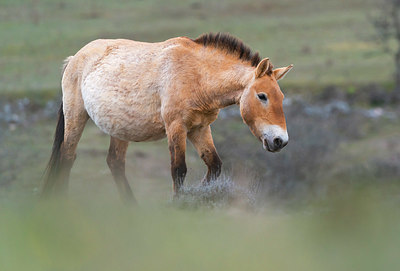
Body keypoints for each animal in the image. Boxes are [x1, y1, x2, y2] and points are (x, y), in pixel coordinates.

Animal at [42, 31, 292, 203]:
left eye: (281, 96)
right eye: (262, 96)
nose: (280, 141)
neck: (198, 76)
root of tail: (75, 58)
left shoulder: (199, 128)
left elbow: (214, 166)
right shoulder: (176, 127)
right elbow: (178, 169)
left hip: (119, 128)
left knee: (115, 163)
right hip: (76, 116)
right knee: (67, 156)